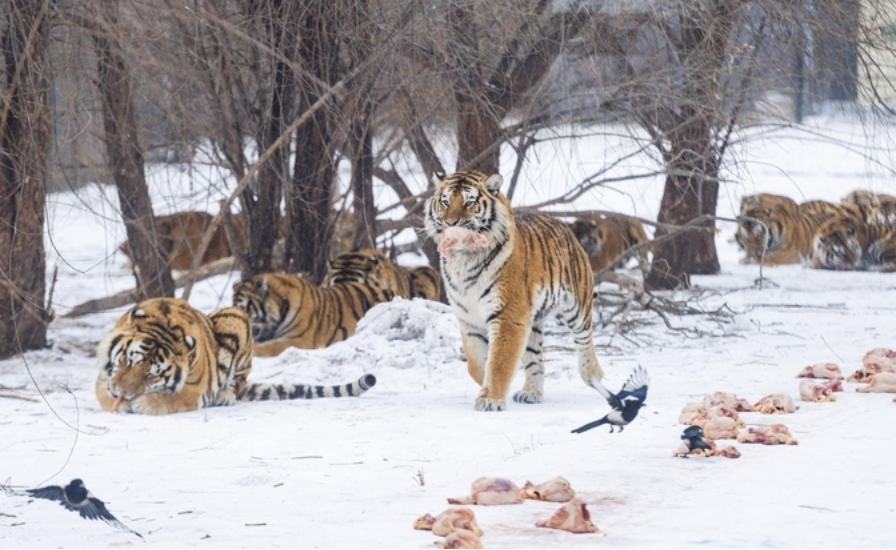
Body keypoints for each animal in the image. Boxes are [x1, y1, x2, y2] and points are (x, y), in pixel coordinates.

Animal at [96, 300, 376, 416]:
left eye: (152, 374)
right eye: (129, 361)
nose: (123, 393)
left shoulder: (193, 389)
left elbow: (171, 398)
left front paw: (144, 404)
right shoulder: (104, 377)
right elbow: (104, 391)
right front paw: (119, 402)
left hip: (235, 318)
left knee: (237, 382)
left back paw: (224, 396)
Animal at [424, 170, 604, 412]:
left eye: (469, 202)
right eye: (445, 202)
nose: (450, 222)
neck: (464, 260)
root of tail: (564, 226)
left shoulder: (508, 316)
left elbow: (499, 361)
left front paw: (490, 399)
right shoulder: (469, 319)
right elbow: (477, 364)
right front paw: (488, 388)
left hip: (575, 306)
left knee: (585, 339)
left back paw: (593, 375)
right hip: (532, 322)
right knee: (535, 358)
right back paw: (532, 393)